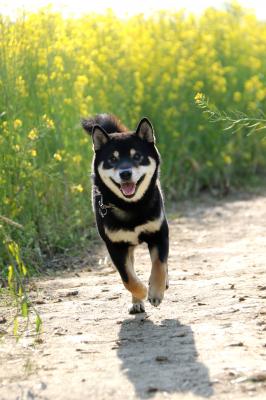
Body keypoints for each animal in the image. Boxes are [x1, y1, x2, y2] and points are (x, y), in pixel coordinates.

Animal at [82, 114, 168, 314]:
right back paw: (137, 301)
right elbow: (128, 278)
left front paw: (156, 291)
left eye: (137, 156)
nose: (125, 173)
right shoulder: (115, 246)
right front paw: (142, 291)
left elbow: (159, 264)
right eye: (112, 159)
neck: (131, 207)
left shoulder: (159, 233)